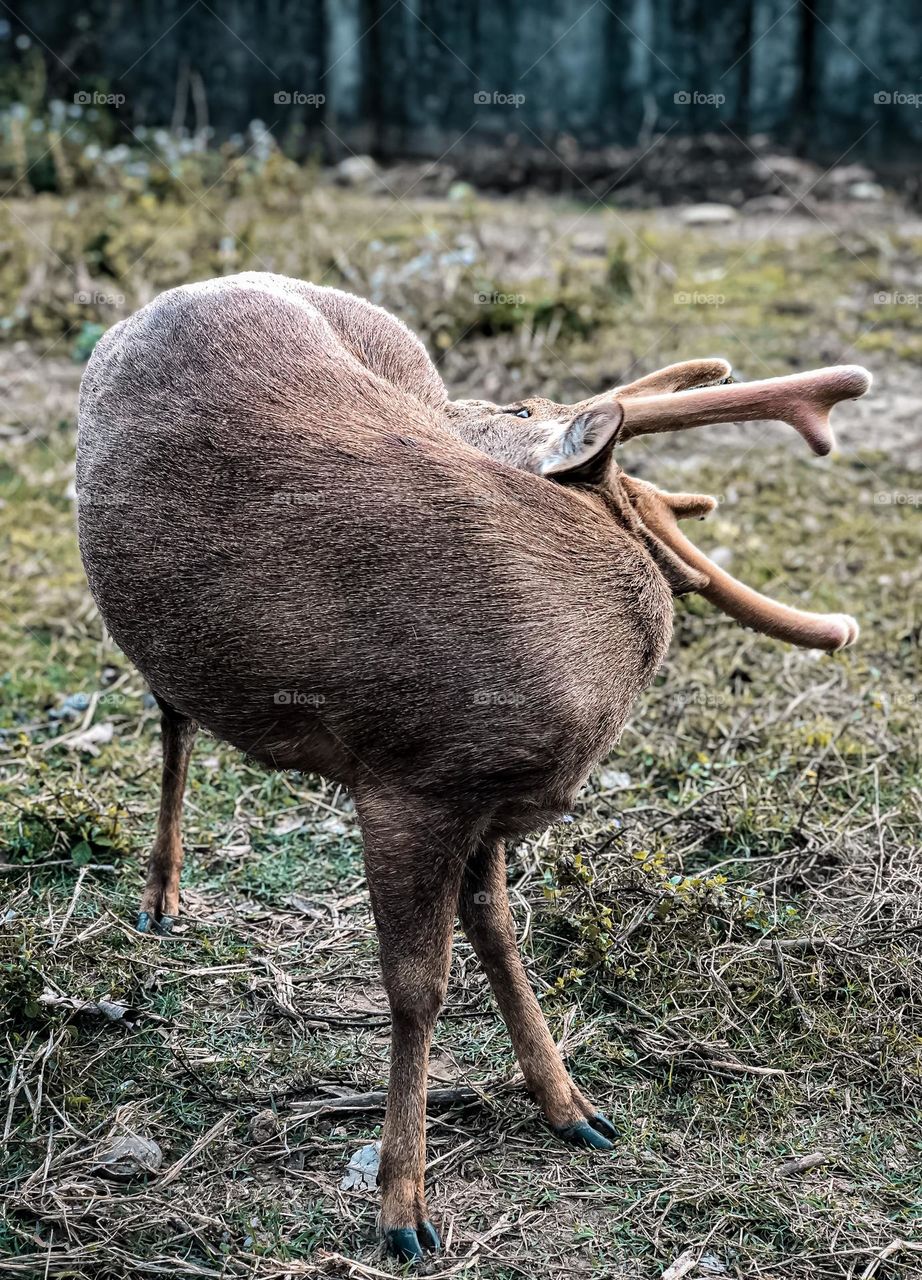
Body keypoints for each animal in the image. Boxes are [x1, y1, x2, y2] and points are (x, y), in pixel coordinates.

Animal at [76, 272, 870, 1262]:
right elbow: (418, 989)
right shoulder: (405, 779)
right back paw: (159, 897)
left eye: (522, 408)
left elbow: (496, 929)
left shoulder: (484, 796)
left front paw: (571, 1107)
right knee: (171, 715)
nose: (460, 409)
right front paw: (403, 1208)